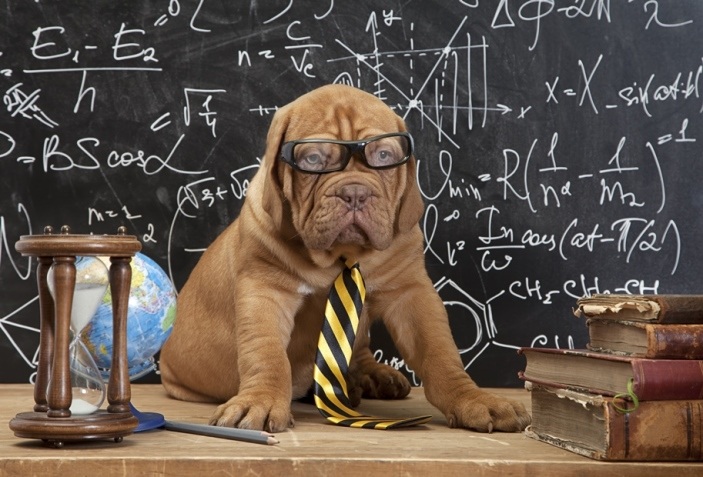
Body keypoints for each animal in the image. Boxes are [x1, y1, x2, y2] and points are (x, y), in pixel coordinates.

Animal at [160, 83, 532, 434]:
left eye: (383, 155)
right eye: (312, 160)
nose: (355, 192)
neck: (341, 256)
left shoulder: (411, 293)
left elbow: (440, 352)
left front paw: (474, 399)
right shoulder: (265, 291)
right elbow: (266, 354)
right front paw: (260, 401)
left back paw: (372, 377)